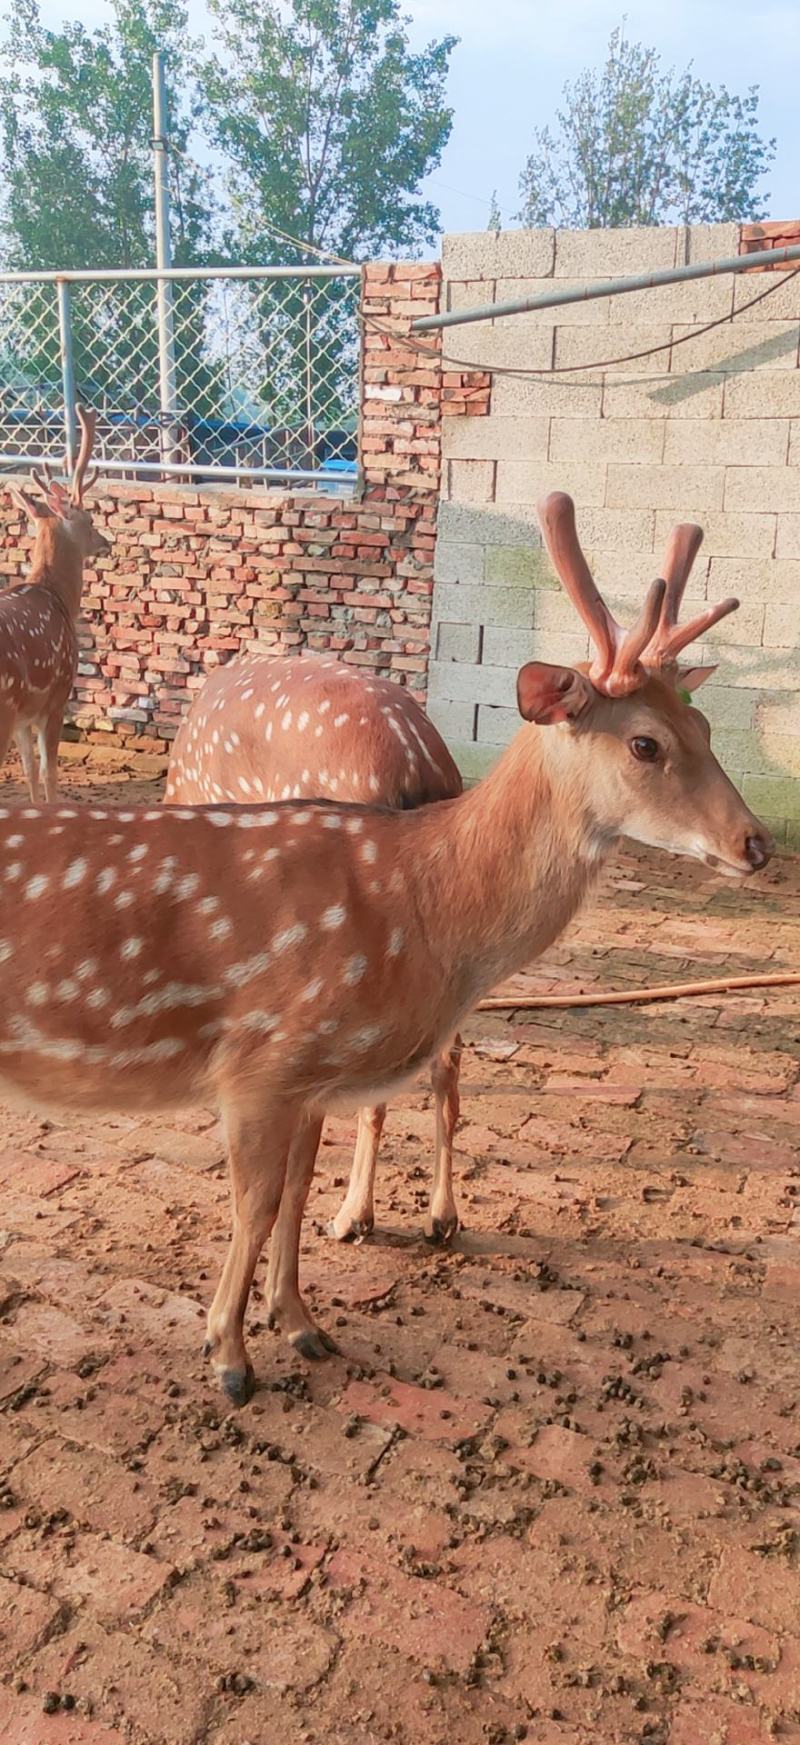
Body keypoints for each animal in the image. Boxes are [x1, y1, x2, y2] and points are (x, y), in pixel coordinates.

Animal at [2, 407, 108, 802]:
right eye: (90, 519)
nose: (106, 541)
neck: (60, 598)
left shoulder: (23, 713)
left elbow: (29, 771)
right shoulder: (56, 697)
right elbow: (49, 772)